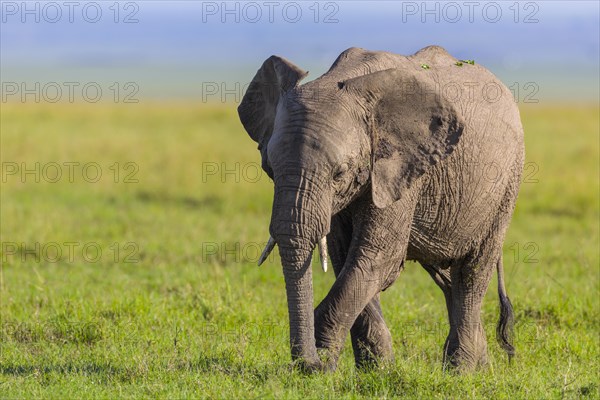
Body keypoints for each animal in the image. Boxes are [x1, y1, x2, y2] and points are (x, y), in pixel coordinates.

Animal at [237, 46, 524, 372]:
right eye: (269, 169)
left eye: (339, 173)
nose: (310, 364)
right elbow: (346, 257)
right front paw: (376, 369)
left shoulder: (402, 169)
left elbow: (377, 257)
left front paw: (326, 361)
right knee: (449, 279)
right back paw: (480, 367)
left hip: (506, 185)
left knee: (472, 273)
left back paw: (460, 371)